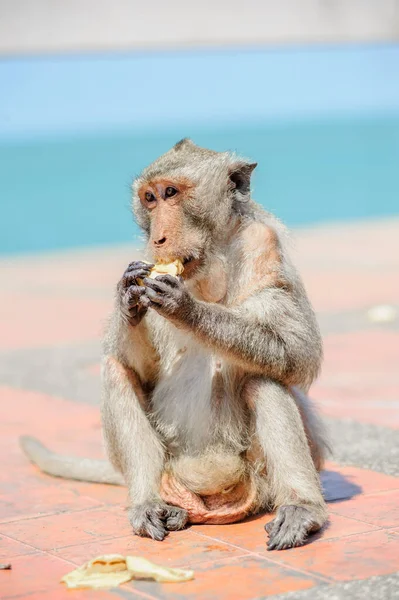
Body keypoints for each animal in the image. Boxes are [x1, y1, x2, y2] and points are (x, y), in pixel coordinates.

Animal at [20, 138, 330, 552]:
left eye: (171, 193)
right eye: (150, 198)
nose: (158, 238)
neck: (209, 264)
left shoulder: (263, 244)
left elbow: (298, 353)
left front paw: (185, 309)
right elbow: (137, 366)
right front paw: (128, 300)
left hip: (258, 481)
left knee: (263, 379)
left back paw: (302, 509)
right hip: (169, 473)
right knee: (116, 370)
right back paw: (151, 504)